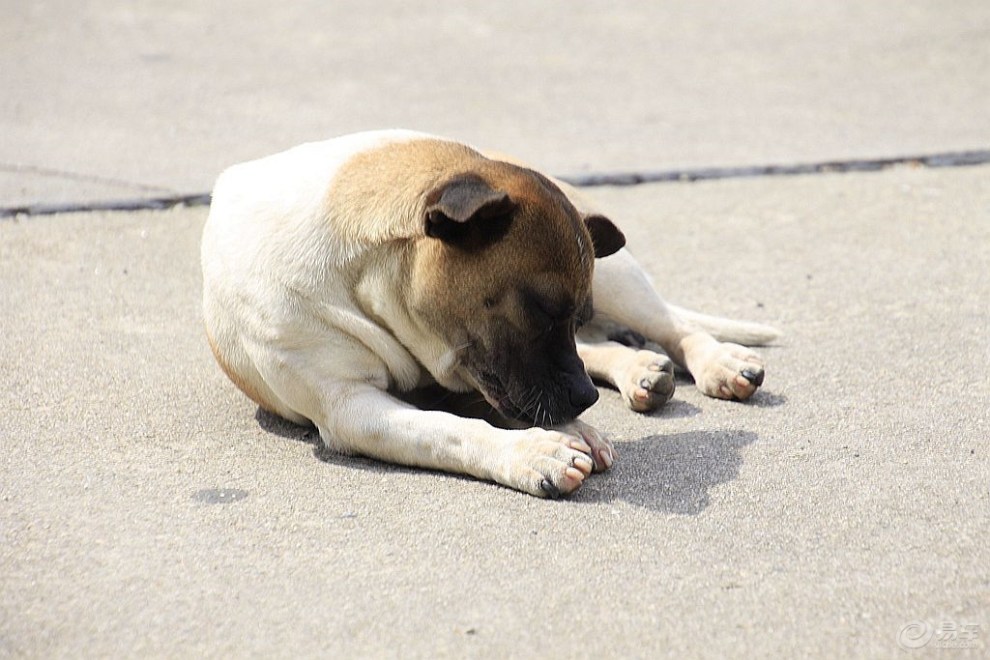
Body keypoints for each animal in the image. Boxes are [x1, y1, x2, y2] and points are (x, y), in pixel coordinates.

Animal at [200, 131, 776, 498]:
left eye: (565, 313)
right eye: (540, 310)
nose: (586, 399)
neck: (362, 272)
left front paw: (569, 426)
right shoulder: (352, 408)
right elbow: (449, 429)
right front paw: (532, 452)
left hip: (617, 275)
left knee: (671, 327)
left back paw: (716, 362)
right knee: (602, 346)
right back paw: (636, 370)